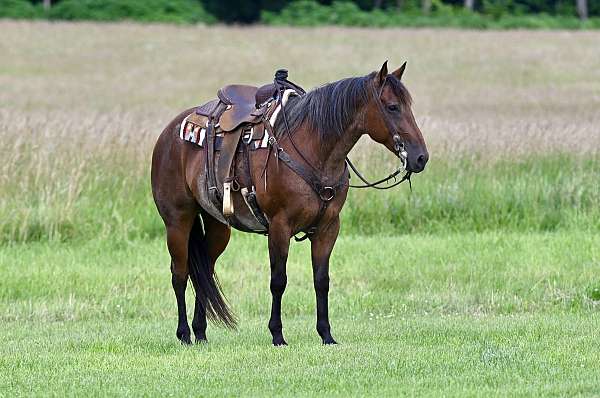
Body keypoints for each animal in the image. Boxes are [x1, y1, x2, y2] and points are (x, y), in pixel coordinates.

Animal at [152, 62, 428, 346]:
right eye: (392, 107)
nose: (420, 157)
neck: (314, 151)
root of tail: (169, 133)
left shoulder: (328, 228)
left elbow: (321, 280)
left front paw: (326, 334)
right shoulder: (279, 226)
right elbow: (278, 280)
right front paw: (277, 334)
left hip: (218, 226)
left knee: (204, 271)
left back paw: (200, 332)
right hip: (177, 221)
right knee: (180, 273)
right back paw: (184, 333)